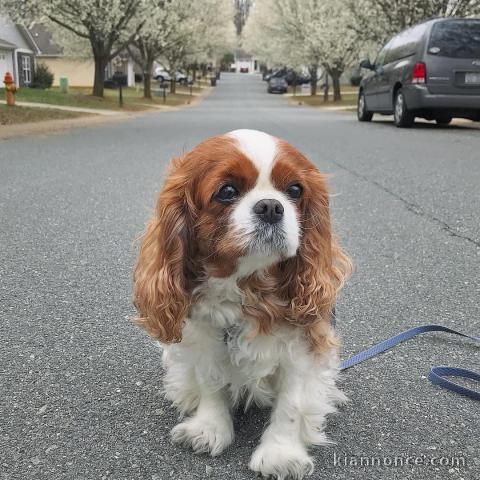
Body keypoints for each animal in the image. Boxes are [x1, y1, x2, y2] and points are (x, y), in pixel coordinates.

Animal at [133, 129, 350, 478]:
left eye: (294, 190)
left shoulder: (303, 347)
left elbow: (292, 403)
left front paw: (281, 453)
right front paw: (209, 428)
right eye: (227, 192)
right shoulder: (205, 338)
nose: (271, 207)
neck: (248, 287)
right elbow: (210, 382)